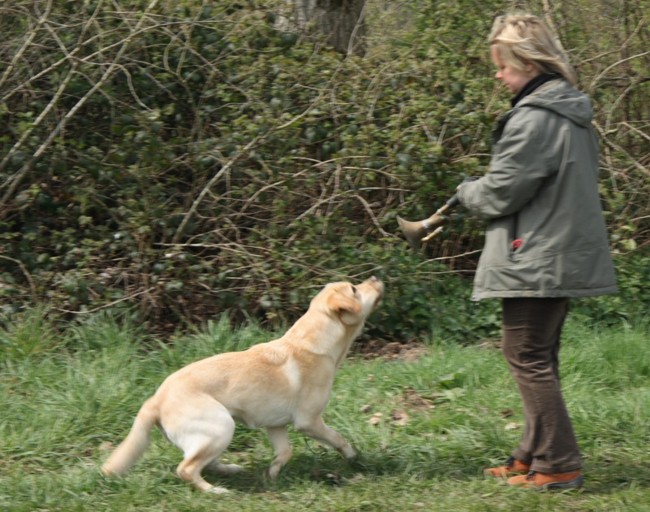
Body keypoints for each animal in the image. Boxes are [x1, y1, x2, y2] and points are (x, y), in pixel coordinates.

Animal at [100, 278, 382, 494]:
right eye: (354, 289)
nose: (376, 278)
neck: (314, 342)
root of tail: (155, 399)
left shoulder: (275, 425)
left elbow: (285, 452)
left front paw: (272, 475)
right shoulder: (309, 421)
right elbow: (338, 438)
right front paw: (353, 457)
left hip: (216, 432)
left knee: (201, 461)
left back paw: (230, 469)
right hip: (223, 425)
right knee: (186, 468)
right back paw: (215, 491)